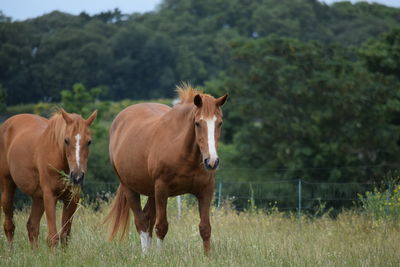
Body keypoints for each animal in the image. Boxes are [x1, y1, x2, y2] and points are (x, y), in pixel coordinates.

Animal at [0, 110, 96, 248]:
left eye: (89, 142)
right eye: (66, 140)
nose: (77, 176)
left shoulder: (72, 198)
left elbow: (65, 236)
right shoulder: (50, 196)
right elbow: (53, 238)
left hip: (38, 197)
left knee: (32, 226)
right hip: (7, 187)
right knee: (9, 225)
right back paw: (10, 251)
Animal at [104, 84, 227, 255]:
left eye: (219, 123)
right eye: (197, 123)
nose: (212, 161)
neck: (183, 152)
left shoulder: (206, 190)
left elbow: (205, 228)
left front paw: (207, 257)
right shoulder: (162, 189)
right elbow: (162, 227)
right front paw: (159, 256)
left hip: (151, 192)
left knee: (148, 218)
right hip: (129, 187)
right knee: (141, 222)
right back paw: (145, 254)